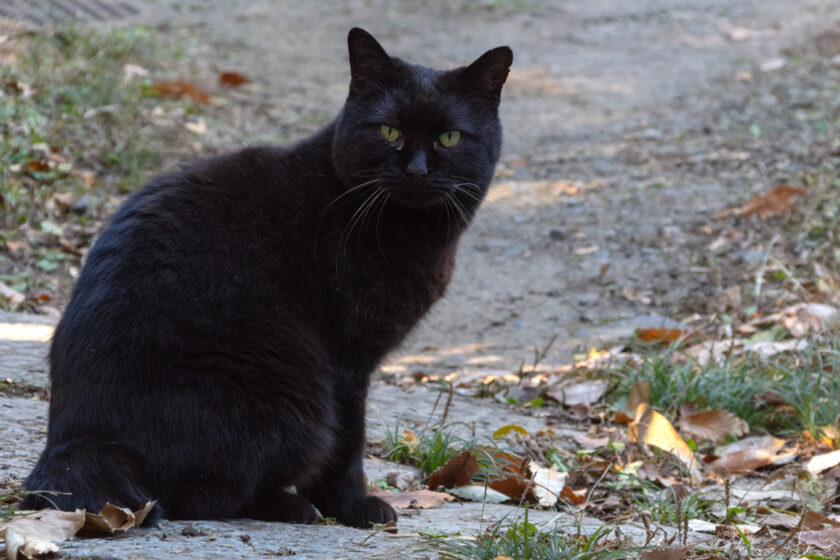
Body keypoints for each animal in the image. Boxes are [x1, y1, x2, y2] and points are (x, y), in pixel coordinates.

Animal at [21, 28, 512, 528]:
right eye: (389, 131)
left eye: (450, 138)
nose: (416, 170)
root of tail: (78, 438)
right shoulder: (346, 363)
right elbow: (347, 444)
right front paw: (354, 508)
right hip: (297, 397)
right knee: (202, 495)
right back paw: (292, 507)